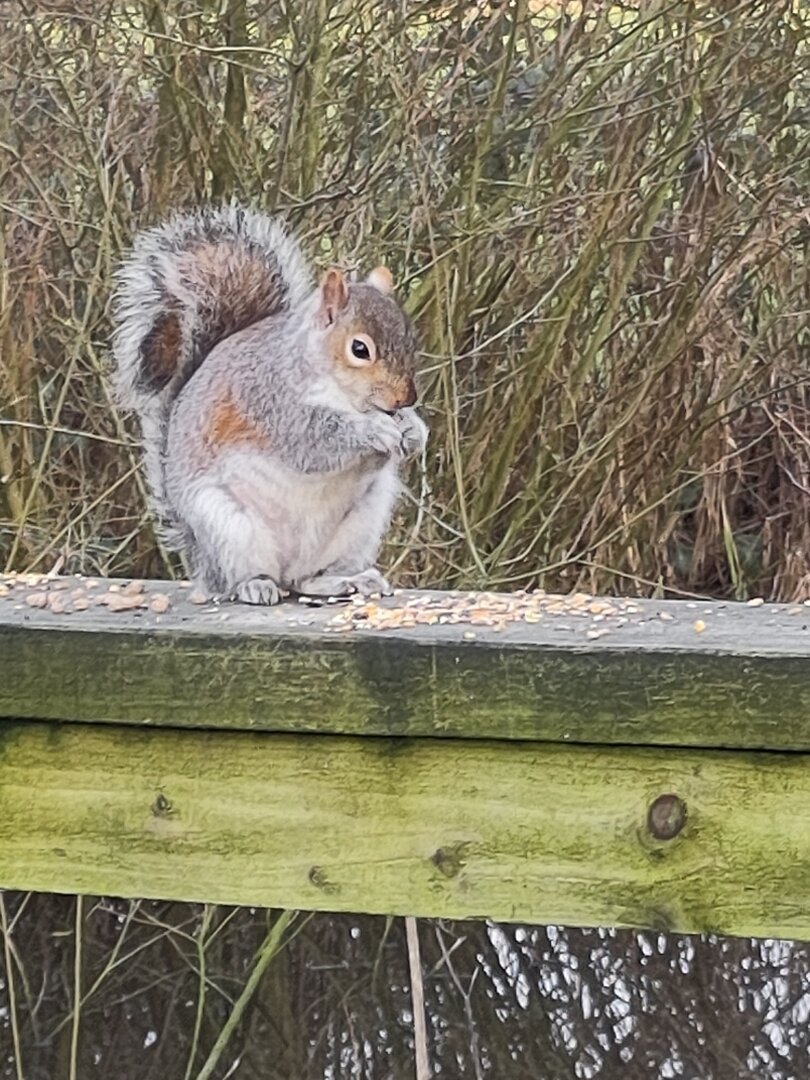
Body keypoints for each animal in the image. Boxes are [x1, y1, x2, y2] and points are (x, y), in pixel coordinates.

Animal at [114, 204, 432, 609]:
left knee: (307, 580)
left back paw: (347, 580)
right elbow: (316, 441)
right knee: (239, 579)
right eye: (360, 349)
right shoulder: (272, 401)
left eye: (410, 338)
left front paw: (413, 429)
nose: (405, 398)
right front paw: (374, 430)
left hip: (360, 524)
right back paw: (254, 585)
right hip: (228, 527)